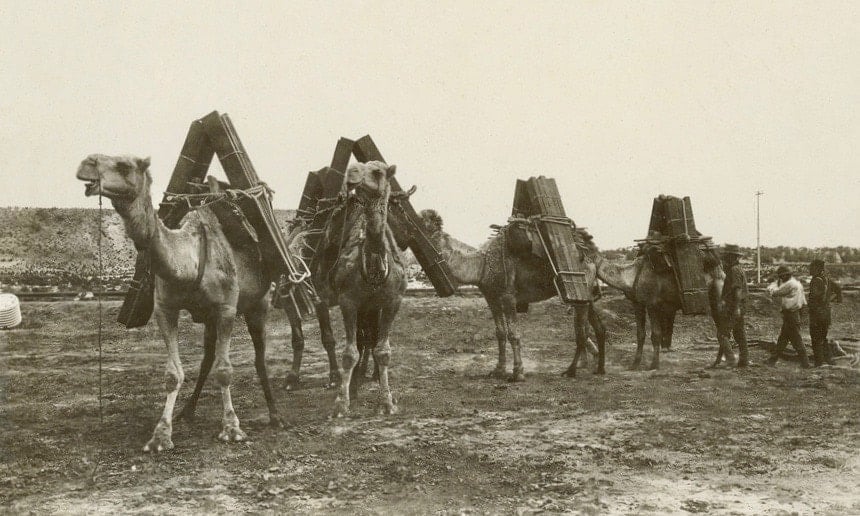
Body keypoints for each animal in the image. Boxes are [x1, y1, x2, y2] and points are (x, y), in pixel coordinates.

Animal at [75, 154, 280, 452]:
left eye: (125, 166)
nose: (86, 164)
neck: (190, 260)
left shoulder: (226, 309)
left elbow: (225, 370)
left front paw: (232, 429)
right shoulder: (165, 309)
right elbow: (173, 374)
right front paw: (160, 436)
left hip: (259, 305)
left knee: (259, 356)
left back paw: (275, 415)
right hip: (209, 318)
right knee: (207, 357)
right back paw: (188, 411)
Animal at [320, 161, 408, 416]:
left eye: (377, 171)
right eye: (357, 166)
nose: (351, 175)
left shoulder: (392, 302)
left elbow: (383, 350)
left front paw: (387, 402)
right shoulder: (348, 301)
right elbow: (349, 352)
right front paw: (341, 404)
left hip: (372, 307)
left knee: (369, 339)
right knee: (360, 340)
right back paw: (355, 384)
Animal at [418, 210, 604, 382]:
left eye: (425, 227)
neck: (482, 265)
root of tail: (591, 257)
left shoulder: (508, 296)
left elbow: (513, 334)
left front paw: (517, 373)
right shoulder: (491, 297)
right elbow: (500, 333)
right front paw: (498, 370)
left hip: (579, 291)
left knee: (581, 332)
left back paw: (571, 371)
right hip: (586, 295)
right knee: (598, 327)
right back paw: (600, 369)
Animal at [584, 243, 724, 370]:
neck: (632, 275)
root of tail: (721, 268)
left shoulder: (652, 304)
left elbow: (656, 335)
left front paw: (654, 365)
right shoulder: (638, 303)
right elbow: (640, 334)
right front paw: (634, 365)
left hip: (717, 296)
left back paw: (719, 363)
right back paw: (716, 363)